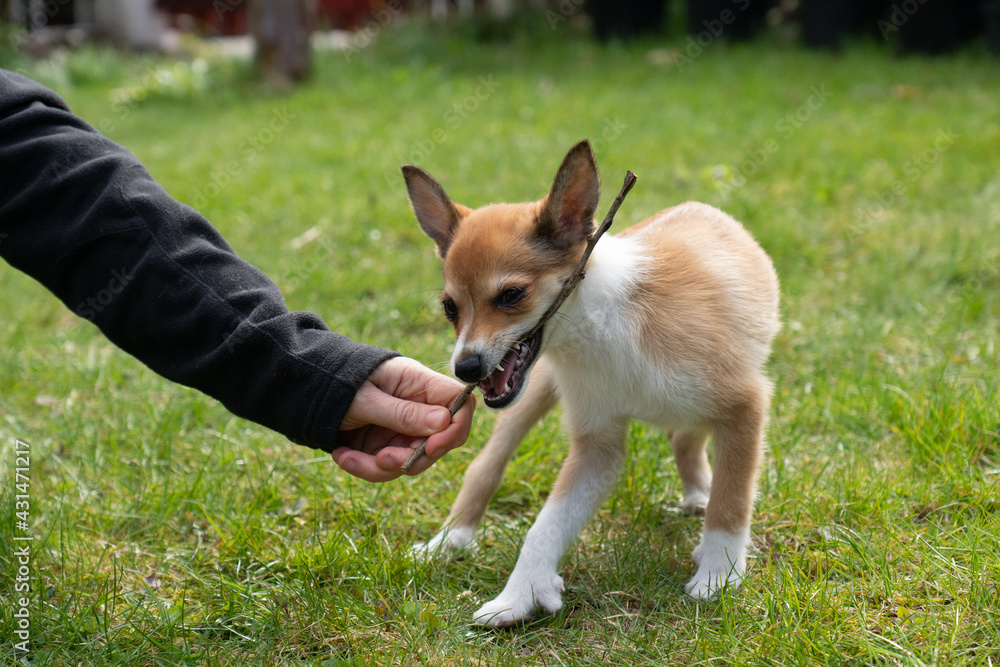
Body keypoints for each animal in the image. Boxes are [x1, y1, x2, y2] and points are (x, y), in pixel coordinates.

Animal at [402, 140, 776, 628]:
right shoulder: (597, 447)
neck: (601, 326)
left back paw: (700, 497)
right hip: (535, 394)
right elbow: (545, 526)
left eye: (510, 295)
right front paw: (519, 595)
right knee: (485, 467)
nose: (465, 368)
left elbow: (731, 502)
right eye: (450, 307)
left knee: (686, 438)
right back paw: (449, 540)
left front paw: (718, 574)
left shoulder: (743, 407)